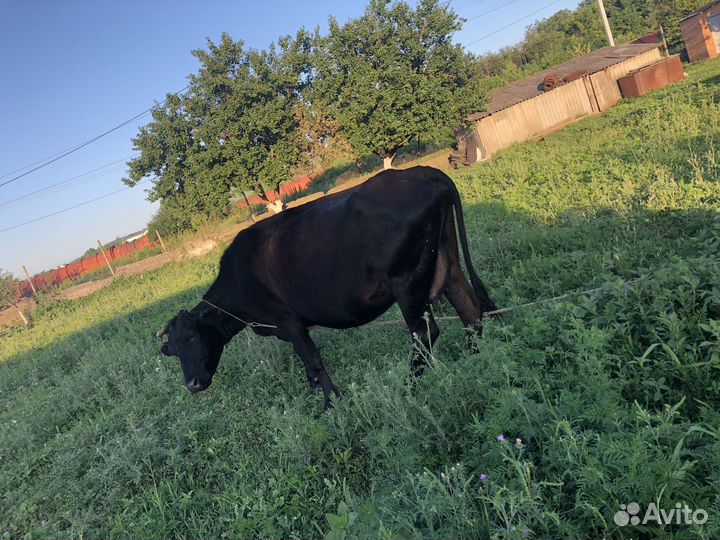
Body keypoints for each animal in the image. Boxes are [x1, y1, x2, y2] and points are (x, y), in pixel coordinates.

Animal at [157, 166, 497, 411]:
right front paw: (314, 395)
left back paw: (409, 387)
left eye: (192, 337)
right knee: (469, 310)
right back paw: (475, 361)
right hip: (447, 265)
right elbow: (309, 368)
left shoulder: (288, 321)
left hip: (407, 281)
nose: (193, 384)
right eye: (172, 350)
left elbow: (313, 362)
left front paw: (330, 404)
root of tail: (421, 171)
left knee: (424, 334)